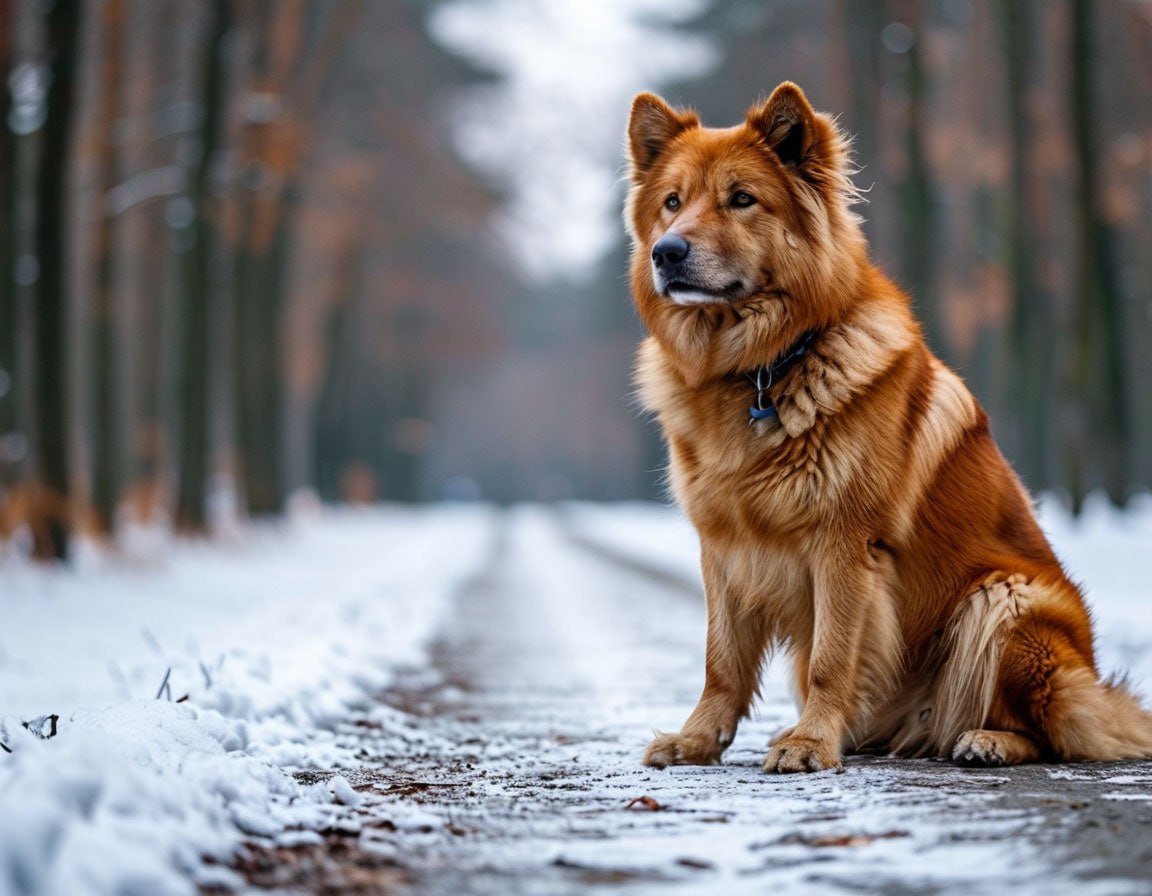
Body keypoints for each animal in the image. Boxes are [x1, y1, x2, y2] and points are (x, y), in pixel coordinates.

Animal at [631, 81, 1152, 769]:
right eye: (672, 202)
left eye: (741, 199)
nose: (666, 253)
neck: (764, 369)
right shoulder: (722, 545)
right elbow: (721, 660)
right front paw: (696, 740)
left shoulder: (844, 544)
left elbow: (830, 658)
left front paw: (811, 744)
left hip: (1003, 600)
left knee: (1050, 727)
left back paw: (985, 739)